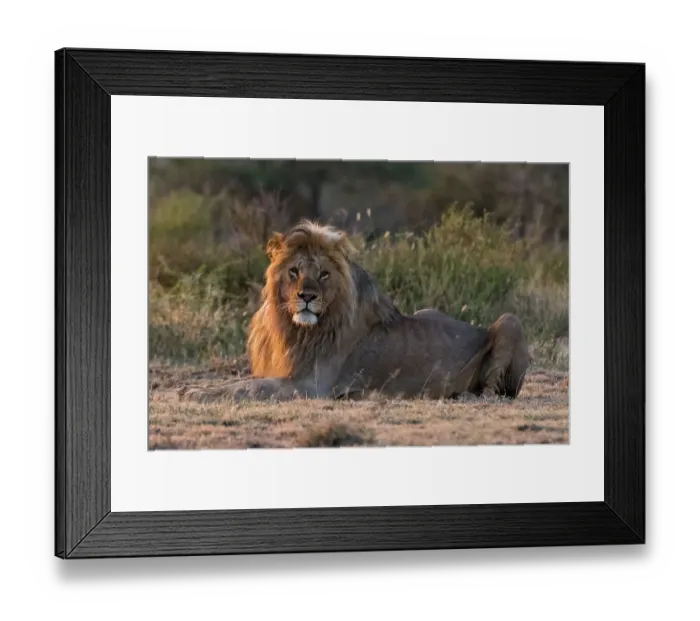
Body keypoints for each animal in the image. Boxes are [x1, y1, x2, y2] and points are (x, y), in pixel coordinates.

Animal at [179, 220, 530, 404]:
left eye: (323, 274)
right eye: (294, 271)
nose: (307, 297)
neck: (296, 329)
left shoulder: (311, 386)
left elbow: (249, 388)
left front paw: (194, 391)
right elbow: (244, 382)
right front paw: (196, 389)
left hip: (510, 322)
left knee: (495, 391)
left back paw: (464, 396)